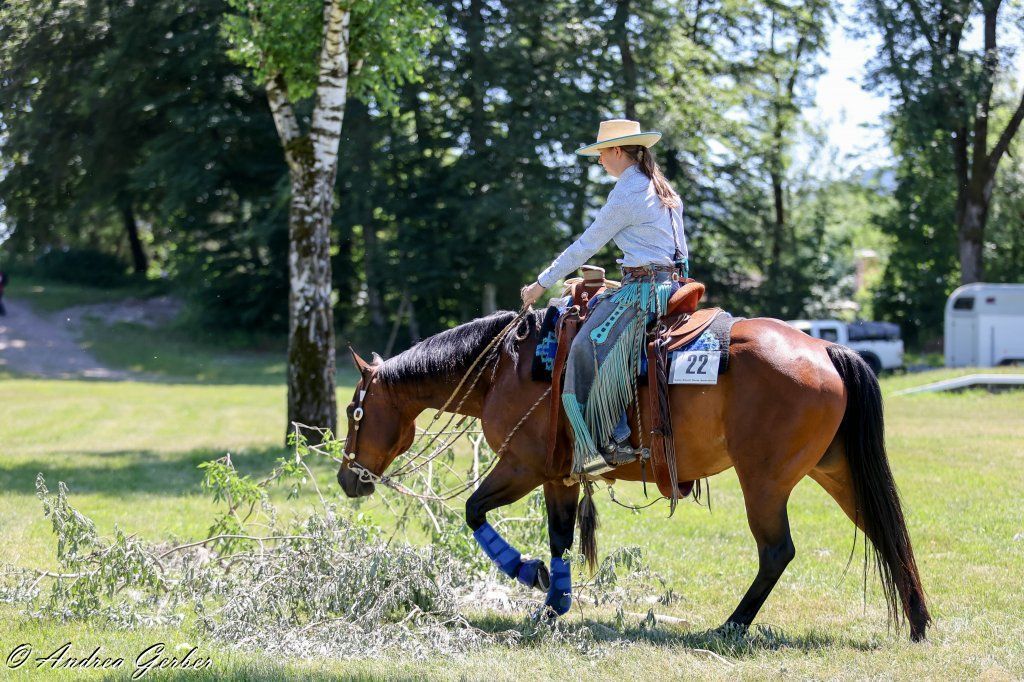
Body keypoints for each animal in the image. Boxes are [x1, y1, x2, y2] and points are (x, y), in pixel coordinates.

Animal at [337, 309, 931, 641]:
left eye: (354, 411)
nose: (348, 479)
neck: (504, 366)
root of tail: (825, 348)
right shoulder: (558, 475)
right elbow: (560, 536)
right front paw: (554, 602)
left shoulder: (521, 465)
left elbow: (474, 510)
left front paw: (528, 573)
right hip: (835, 472)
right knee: (887, 532)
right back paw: (919, 622)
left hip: (763, 482)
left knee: (777, 552)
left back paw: (732, 625)